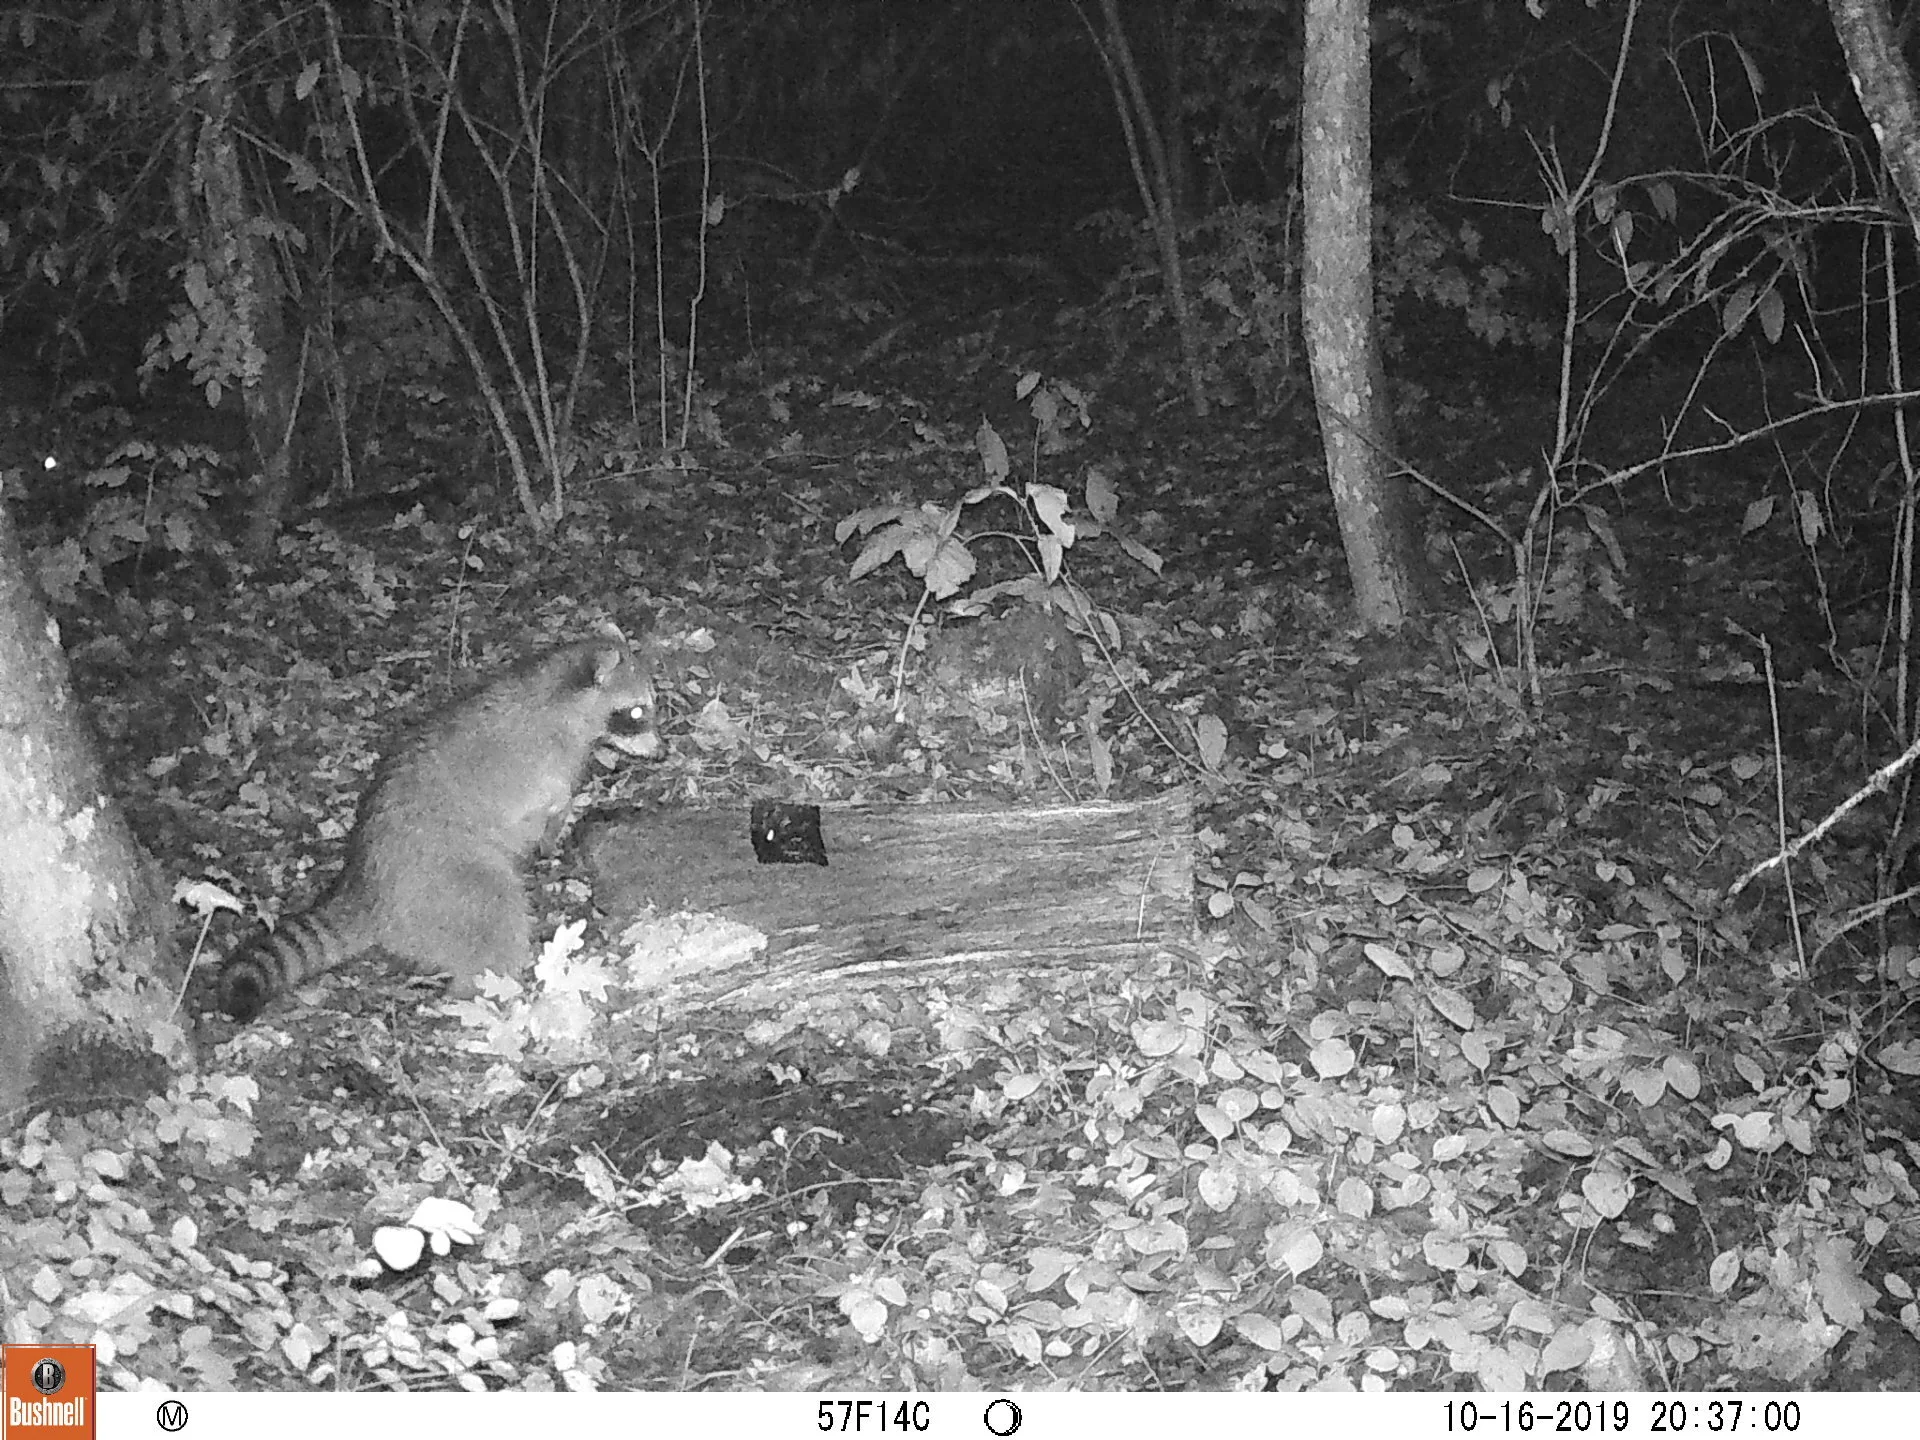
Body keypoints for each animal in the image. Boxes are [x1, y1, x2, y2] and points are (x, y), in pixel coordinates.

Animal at [216, 623, 663, 1021]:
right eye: (637, 711)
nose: (661, 752)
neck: (564, 700)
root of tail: (364, 887)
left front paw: (555, 830)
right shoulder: (532, 760)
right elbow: (542, 798)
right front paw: (558, 814)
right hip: (443, 876)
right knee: (496, 910)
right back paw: (487, 988)